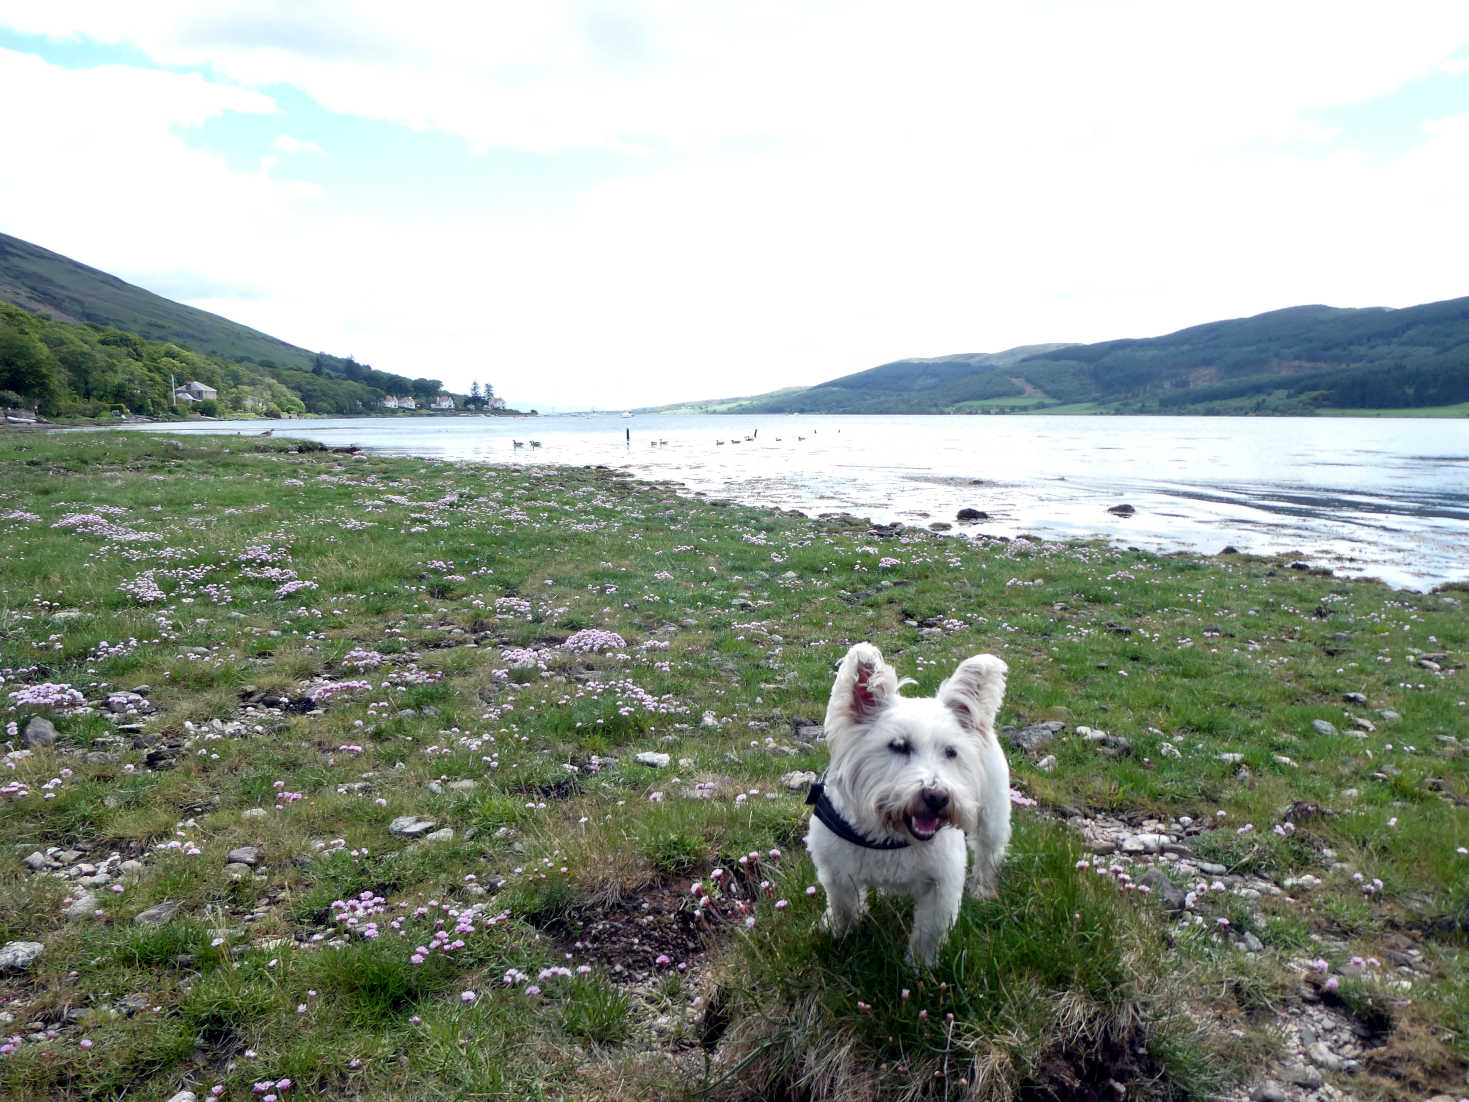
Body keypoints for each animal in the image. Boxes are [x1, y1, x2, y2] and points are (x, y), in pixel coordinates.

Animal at [805, 643, 1010, 963]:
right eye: (898, 746)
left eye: (951, 752)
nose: (937, 797)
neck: (889, 834)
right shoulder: (836, 871)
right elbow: (844, 907)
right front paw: (837, 932)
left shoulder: (943, 884)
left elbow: (929, 931)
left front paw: (921, 966)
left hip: (993, 816)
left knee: (989, 854)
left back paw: (984, 890)